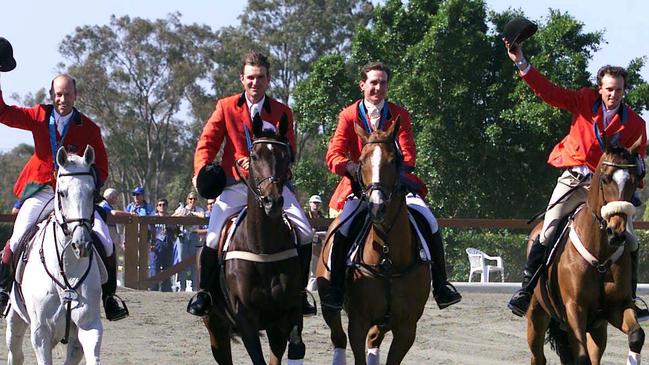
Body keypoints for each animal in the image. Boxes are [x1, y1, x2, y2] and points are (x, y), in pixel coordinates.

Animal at [5, 146, 106, 364]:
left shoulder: (89, 327)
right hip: (15, 322)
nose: (81, 244)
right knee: (15, 354)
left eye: (92, 193)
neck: (66, 268)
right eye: (62, 193)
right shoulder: (41, 333)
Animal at [202, 116, 304, 364]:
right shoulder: (246, 318)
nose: (272, 201)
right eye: (254, 156)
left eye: (285, 155)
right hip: (216, 328)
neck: (262, 247)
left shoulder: (283, 318)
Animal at [316, 118, 430, 362]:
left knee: (374, 339)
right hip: (330, 307)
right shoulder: (358, 322)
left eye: (393, 160)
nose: (377, 206)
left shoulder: (407, 328)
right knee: (338, 338)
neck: (387, 254)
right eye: (361, 161)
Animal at [528, 137, 644, 364]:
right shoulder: (574, 309)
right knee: (538, 356)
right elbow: (581, 356)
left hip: (598, 329)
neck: (600, 254)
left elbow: (636, 335)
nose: (616, 232)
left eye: (635, 180)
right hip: (536, 315)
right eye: (606, 179)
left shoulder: (618, 307)